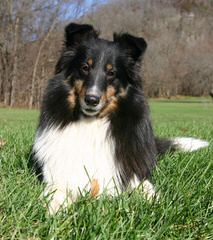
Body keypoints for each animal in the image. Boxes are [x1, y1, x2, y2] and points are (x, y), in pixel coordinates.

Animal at [30, 22, 209, 214]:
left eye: (112, 73)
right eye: (85, 67)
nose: (91, 100)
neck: (92, 123)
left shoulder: (130, 172)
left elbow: (145, 187)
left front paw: (157, 205)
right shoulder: (60, 173)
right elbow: (57, 190)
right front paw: (54, 207)